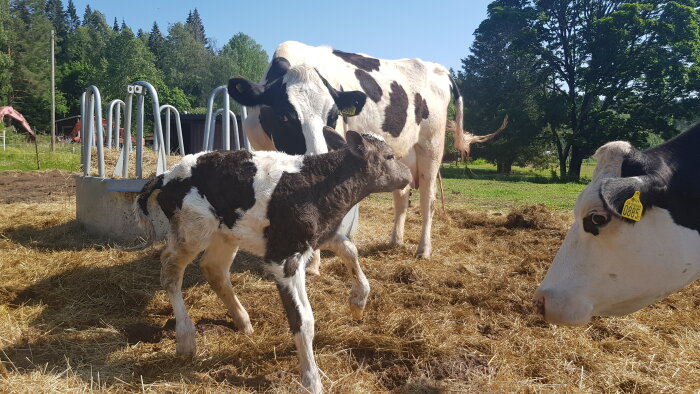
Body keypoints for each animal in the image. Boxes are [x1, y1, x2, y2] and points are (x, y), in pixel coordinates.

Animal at [134, 131, 412, 392]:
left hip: (226, 233)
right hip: (193, 231)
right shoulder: (284, 256)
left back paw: (243, 321)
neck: (318, 185)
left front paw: (358, 301)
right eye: (389, 156)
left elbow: (350, 250)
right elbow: (303, 320)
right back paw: (186, 338)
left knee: (213, 268)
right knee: (170, 270)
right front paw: (311, 380)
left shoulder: (318, 235)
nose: (409, 174)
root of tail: (165, 176)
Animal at [227, 41, 506, 260]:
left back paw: (423, 249)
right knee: (401, 195)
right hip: (402, 151)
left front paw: (312, 262)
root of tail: (438, 67)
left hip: (431, 145)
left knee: (428, 198)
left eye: (333, 116)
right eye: (284, 116)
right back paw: (395, 240)